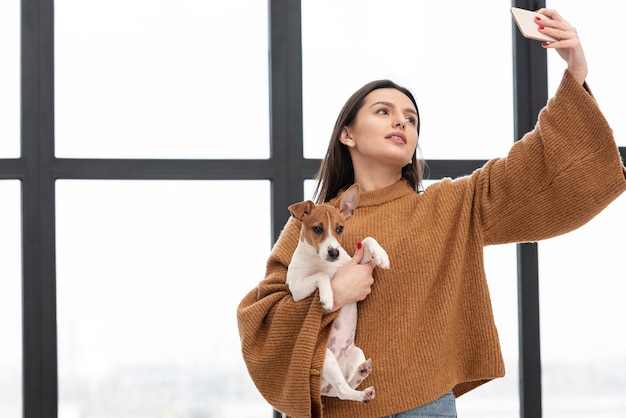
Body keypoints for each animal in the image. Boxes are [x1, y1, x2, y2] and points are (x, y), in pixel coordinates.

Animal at [286, 185, 388, 404]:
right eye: (317, 229)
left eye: (339, 228)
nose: (334, 252)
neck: (321, 260)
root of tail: (324, 387)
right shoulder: (297, 288)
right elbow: (321, 275)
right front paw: (327, 297)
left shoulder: (356, 264)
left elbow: (367, 239)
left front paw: (382, 256)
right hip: (326, 359)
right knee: (342, 390)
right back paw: (363, 392)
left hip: (356, 352)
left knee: (346, 385)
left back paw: (362, 373)